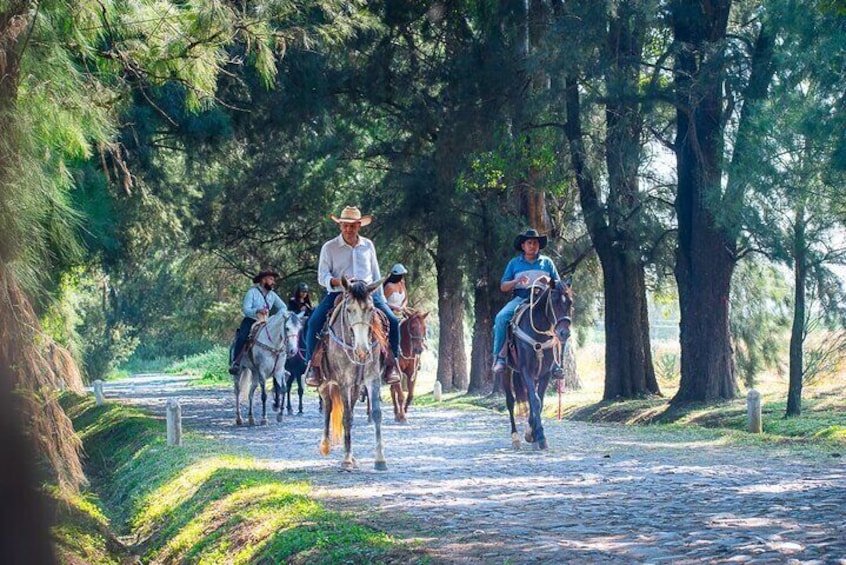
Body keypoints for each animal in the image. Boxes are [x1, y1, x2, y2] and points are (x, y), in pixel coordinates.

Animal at [317, 276, 388, 471]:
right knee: (328, 406)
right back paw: (325, 446)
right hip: (325, 384)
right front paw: (347, 459)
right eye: (349, 310)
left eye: (370, 309)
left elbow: (376, 414)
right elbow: (347, 417)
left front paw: (380, 459)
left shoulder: (372, 379)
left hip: (356, 387)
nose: (362, 350)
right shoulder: (344, 382)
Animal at [502, 279, 573, 450]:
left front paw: (532, 434)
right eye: (554, 301)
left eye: (570, 302)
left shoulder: (545, 373)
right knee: (510, 401)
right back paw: (515, 438)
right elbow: (535, 400)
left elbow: (539, 400)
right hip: (506, 371)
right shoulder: (526, 370)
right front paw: (540, 436)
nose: (564, 333)